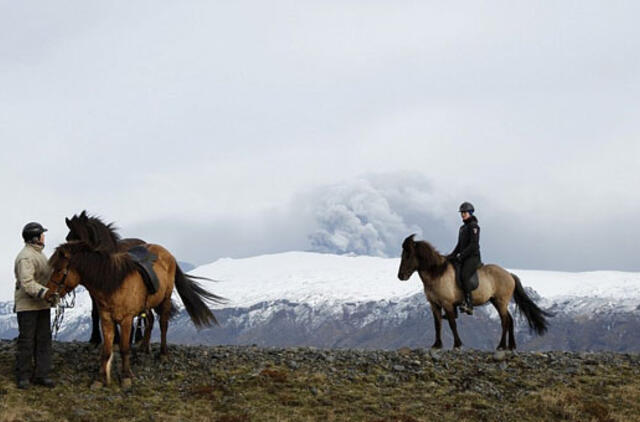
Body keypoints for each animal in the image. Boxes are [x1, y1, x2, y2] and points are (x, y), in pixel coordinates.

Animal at [47, 241, 225, 390]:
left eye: (59, 270)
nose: (48, 296)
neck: (112, 283)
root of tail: (168, 254)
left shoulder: (126, 320)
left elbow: (124, 348)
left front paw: (126, 377)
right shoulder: (106, 320)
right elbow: (106, 350)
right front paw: (100, 379)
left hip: (165, 300)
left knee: (163, 325)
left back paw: (163, 354)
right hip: (148, 304)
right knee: (150, 321)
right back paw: (144, 347)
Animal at [396, 234, 552, 350]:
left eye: (408, 255)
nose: (400, 276)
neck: (437, 274)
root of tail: (509, 274)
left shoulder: (447, 304)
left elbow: (452, 323)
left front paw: (457, 344)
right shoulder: (434, 304)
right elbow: (437, 324)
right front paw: (437, 345)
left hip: (501, 301)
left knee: (505, 321)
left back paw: (501, 346)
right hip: (496, 301)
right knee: (510, 320)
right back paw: (511, 346)